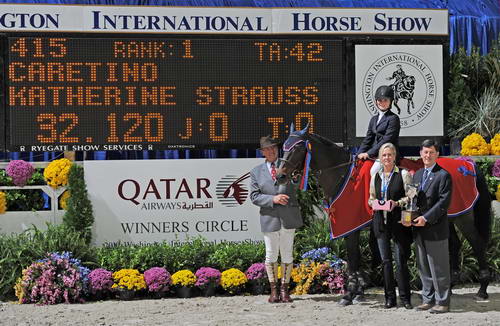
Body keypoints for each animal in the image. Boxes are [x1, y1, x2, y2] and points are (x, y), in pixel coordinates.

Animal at [278, 125, 492, 304]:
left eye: (298, 148)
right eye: (284, 146)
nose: (280, 175)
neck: (343, 175)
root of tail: (466, 164)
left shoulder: (350, 227)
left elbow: (353, 259)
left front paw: (350, 294)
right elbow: (357, 259)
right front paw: (358, 291)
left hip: (463, 217)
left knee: (478, 243)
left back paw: (482, 289)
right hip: (446, 217)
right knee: (454, 243)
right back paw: (451, 286)